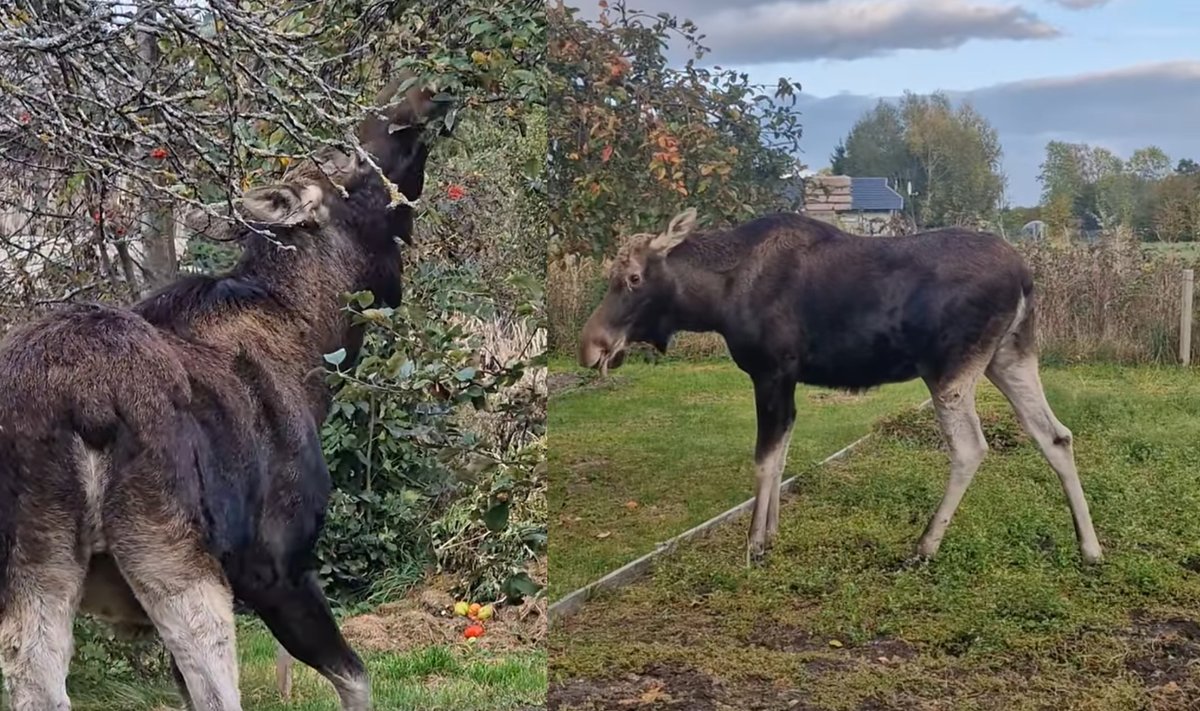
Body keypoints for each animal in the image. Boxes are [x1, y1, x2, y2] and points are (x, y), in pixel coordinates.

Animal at [0, 69, 448, 706]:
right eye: (346, 156)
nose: (421, 94)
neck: (315, 345)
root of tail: (77, 405)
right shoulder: (279, 569)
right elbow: (357, 679)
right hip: (176, 561)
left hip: (37, 562)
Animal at [580, 210, 1104, 566]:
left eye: (632, 278)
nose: (591, 346)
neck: (714, 300)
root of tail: (1025, 277)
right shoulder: (786, 380)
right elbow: (783, 456)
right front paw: (771, 532)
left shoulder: (771, 371)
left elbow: (764, 460)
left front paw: (754, 543)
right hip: (1010, 356)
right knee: (1055, 435)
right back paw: (1090, 546)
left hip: (950, 371)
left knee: (971, 447)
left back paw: (924, 545)